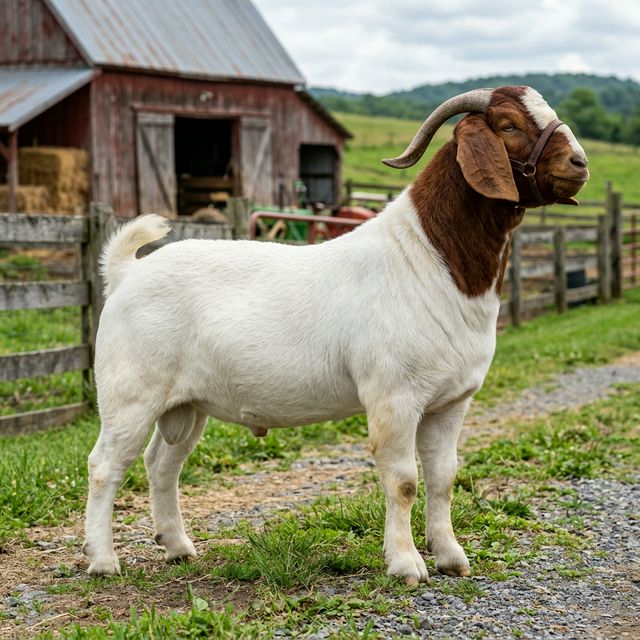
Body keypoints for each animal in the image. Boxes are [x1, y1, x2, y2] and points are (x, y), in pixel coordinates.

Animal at [84, 86, 588, 583]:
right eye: (508, 125)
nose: (579, 163)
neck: (427, 259)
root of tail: (126, 272)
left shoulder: (451, 402)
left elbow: (444, 477)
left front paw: (450, 555)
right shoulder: (394, 397)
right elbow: (404, 481)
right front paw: (406, 564)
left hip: (186, 405)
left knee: (161, 465)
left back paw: (177, 547)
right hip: (129, 396)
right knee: (104, 466)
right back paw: (103, 560)